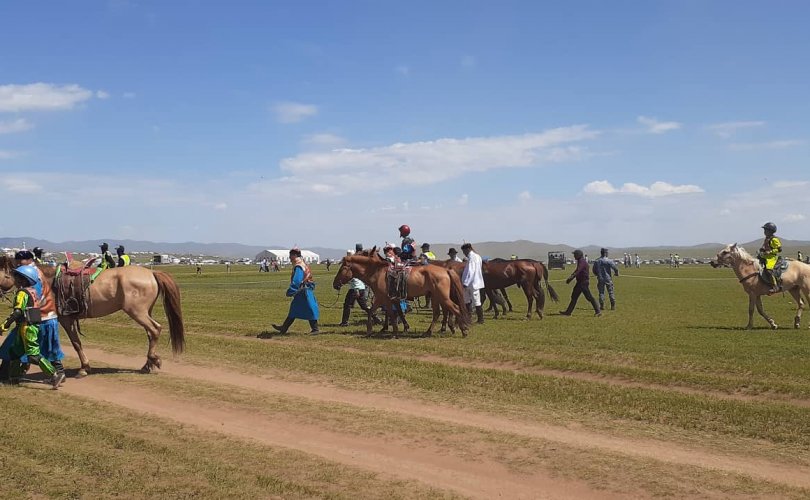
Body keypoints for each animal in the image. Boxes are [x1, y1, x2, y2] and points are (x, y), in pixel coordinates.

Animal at [0, 258, 185, 376]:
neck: (47, 281)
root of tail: (151, 274)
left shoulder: (65, 320)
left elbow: (76, 343)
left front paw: (84, 367)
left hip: (137, 312)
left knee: (155, 329)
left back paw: (153, 360)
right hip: (145, 312)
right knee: (150, 334)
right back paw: (148, 364)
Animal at [330, 252, 468, 338]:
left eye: (342, 268)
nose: (335, 284)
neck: (377, 273)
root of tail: (446, 270)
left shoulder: (383, 298)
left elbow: (386, 313)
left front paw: (391, 331)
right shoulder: (387, 299)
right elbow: (386, 312)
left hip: (442, 297)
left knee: (454, 308)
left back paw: (463, 330)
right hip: (435, 296)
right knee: (438, 313)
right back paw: (429, 332)